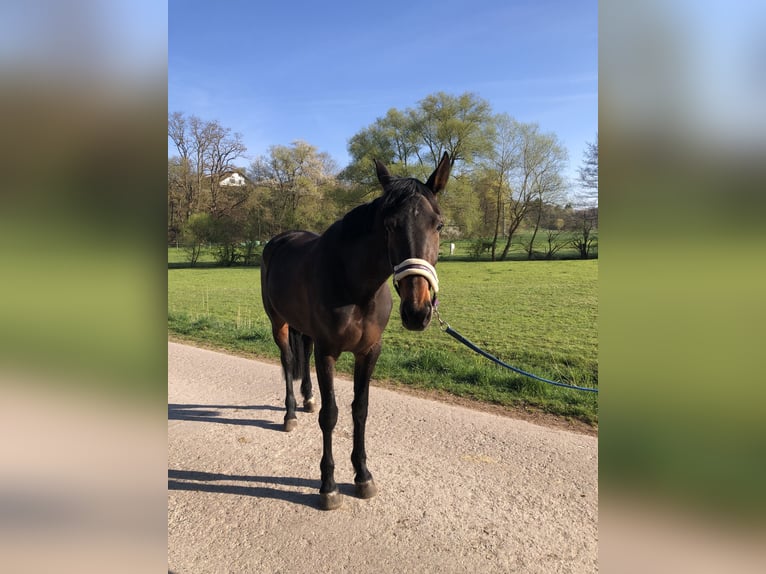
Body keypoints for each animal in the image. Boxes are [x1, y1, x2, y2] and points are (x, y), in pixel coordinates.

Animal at [260, 152, 451, 510]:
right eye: (389, 225)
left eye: (438, 225)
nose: (417, 312)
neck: (355, 287)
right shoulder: (328, 353)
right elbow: (331, 414)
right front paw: (328, 485)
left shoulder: (369, 352)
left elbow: (360, 411)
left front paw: (363, 476)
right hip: (278, 323)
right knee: (288, 359)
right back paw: (291, 413)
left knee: (302, 354)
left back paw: (307, 398)